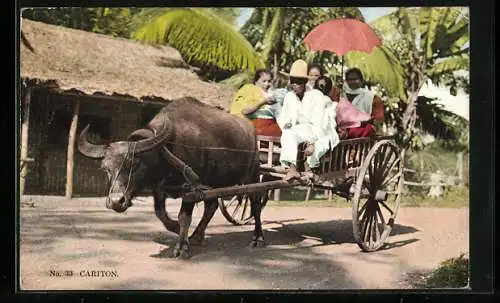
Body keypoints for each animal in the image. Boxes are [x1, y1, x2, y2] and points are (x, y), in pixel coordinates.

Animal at [77, 97, 266, 258]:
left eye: (134, 164)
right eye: (105, 169)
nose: (116, 201)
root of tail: (251, 130)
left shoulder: (190, 190)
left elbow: (184, 217)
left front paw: (182, 247)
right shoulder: (159, 188)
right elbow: (161, 214)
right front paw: (177, 229)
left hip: (252, 175)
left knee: (255, 204)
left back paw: (258, 238)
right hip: (215, 182)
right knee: (212, 205)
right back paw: (197, 235)